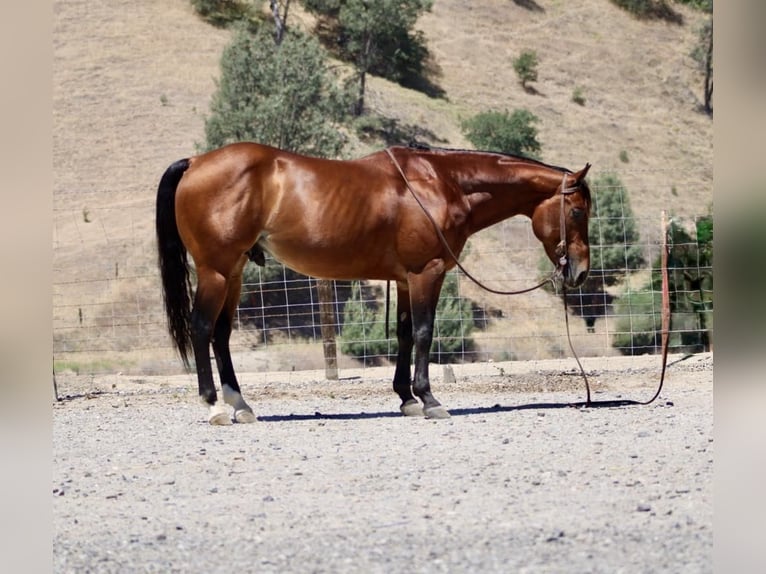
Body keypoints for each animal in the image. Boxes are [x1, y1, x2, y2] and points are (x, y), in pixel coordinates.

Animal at [156, 142, 592, 425]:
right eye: (577, 210)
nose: (581, 271)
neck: (439, 183)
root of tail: (195, 162)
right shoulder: (427, 272)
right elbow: (424, 332)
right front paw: (429, 399)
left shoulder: (404, 280)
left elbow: (404, 333)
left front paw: (406, 399)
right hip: (215, 270)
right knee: (201, 328)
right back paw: (214, 406)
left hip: (233, 273)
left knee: (221, 334)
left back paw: (240, 405)